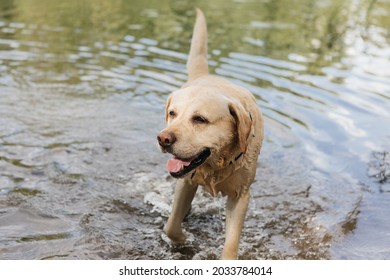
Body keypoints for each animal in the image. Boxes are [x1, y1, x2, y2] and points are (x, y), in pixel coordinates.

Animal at [157, 7, 264, 260]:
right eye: (172, 113)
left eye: (200, 119)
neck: (216, 164)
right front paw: (184, 240)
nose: (163, 139)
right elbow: (171, 226)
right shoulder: (186, 182)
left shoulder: (241, 196)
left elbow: (231, 243)